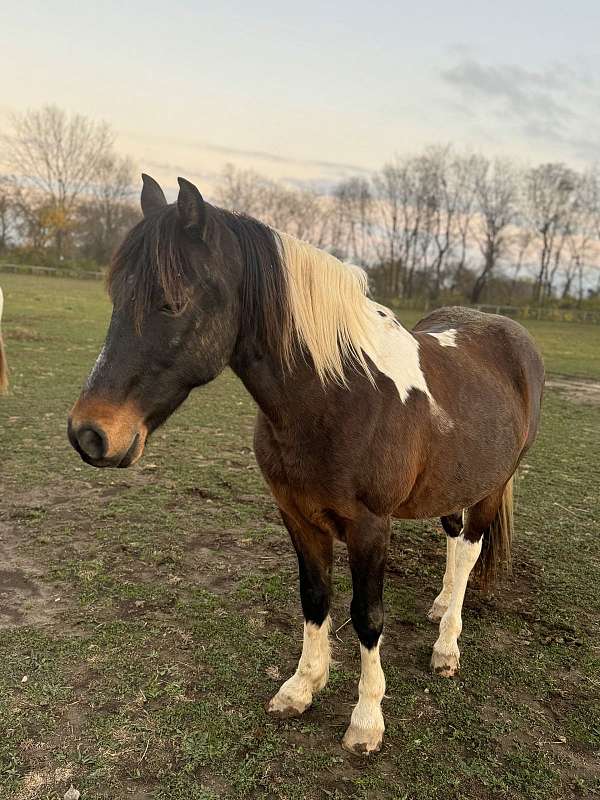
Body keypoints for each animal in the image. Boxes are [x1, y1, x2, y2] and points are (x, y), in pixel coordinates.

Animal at [68, 175, 548, 756]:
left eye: (172, 302)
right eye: (117, 298)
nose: (90, 434)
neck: (340, 395)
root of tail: (508, 334)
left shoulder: (370, 527)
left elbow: (367, 616)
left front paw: (366, 719)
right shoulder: (297, 515)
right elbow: (314, 599)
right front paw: (302, 687)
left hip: (491, 488)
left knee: (468, 555)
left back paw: (447, 647)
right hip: (456, 483)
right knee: (457, 550)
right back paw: (439, 609)